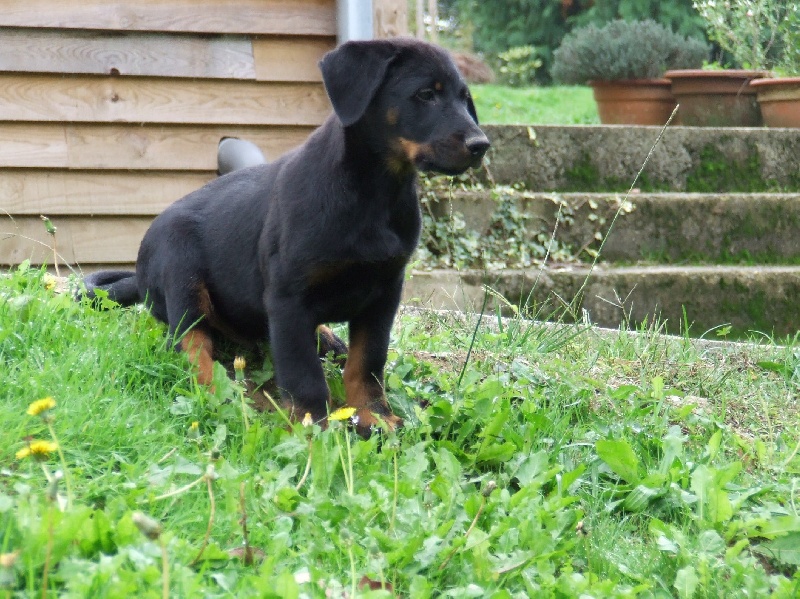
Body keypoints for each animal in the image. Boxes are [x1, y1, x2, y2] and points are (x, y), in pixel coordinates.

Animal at [84, 38, 490, 436]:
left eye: (464, 98)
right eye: (425, 94)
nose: (480, 145)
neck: (374, 193)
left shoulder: (385, 292)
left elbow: (368, 361)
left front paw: (375, 416)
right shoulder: (288, 298)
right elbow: (303, 373)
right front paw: (313, 429)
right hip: (178, 264)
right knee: (190, 343)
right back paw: (221, 395)